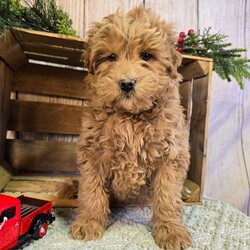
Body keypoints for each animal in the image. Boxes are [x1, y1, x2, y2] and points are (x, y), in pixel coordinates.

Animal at [58, 5, 191, 250]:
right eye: (111, 57)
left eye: (146, 56)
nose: (127, 83)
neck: (130, 116)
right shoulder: (93, 152)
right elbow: (91, 191)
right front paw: (89, 222)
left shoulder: (171, 154)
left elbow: (167, 196)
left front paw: (171, 231)